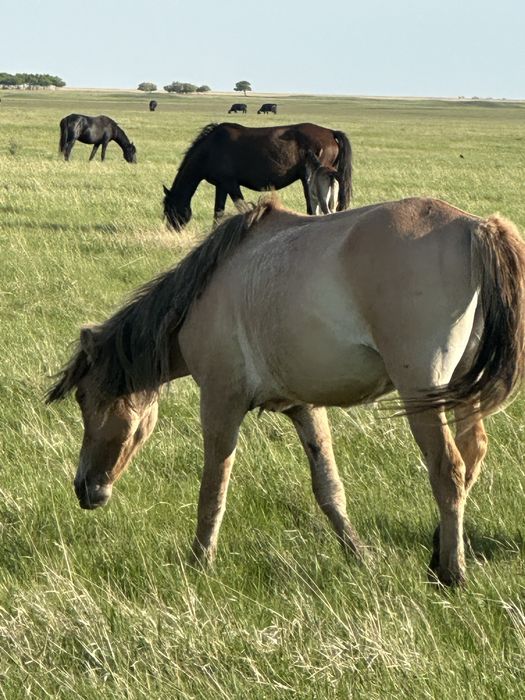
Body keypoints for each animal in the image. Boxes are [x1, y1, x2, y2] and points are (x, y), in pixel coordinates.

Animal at [47, 196, 525, 587]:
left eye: (84, 398)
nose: (85, 488)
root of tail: (475, 228)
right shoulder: (304, 407)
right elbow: (329, 490)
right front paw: (360, 556)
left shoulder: (221, 404)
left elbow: (213, 489)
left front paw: (200, 561)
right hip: (460, 395)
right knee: (472, 454)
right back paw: (437, 554)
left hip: (421, 395)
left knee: (449, 469)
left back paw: (450, 574)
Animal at [162, 122, 352, 230]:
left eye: (169, 209)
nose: (173, 229)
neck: (211, 149)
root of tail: (330, 132)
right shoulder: (221, 186)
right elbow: (218, 213)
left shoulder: (231, 184)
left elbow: (243, 208)